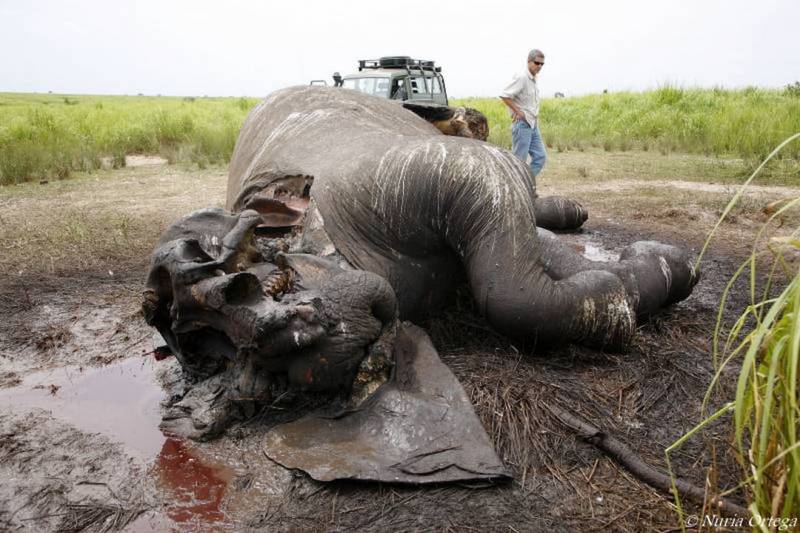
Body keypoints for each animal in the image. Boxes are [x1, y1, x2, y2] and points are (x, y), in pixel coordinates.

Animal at [142, 86, 698, 482]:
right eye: (245, 356)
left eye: (245, 286)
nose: (279, 332)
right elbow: (522, 285)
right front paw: (635, 281)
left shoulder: (440, 172)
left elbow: (511, 288)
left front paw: (663, 270)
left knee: (519, 188)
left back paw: (572, 212)